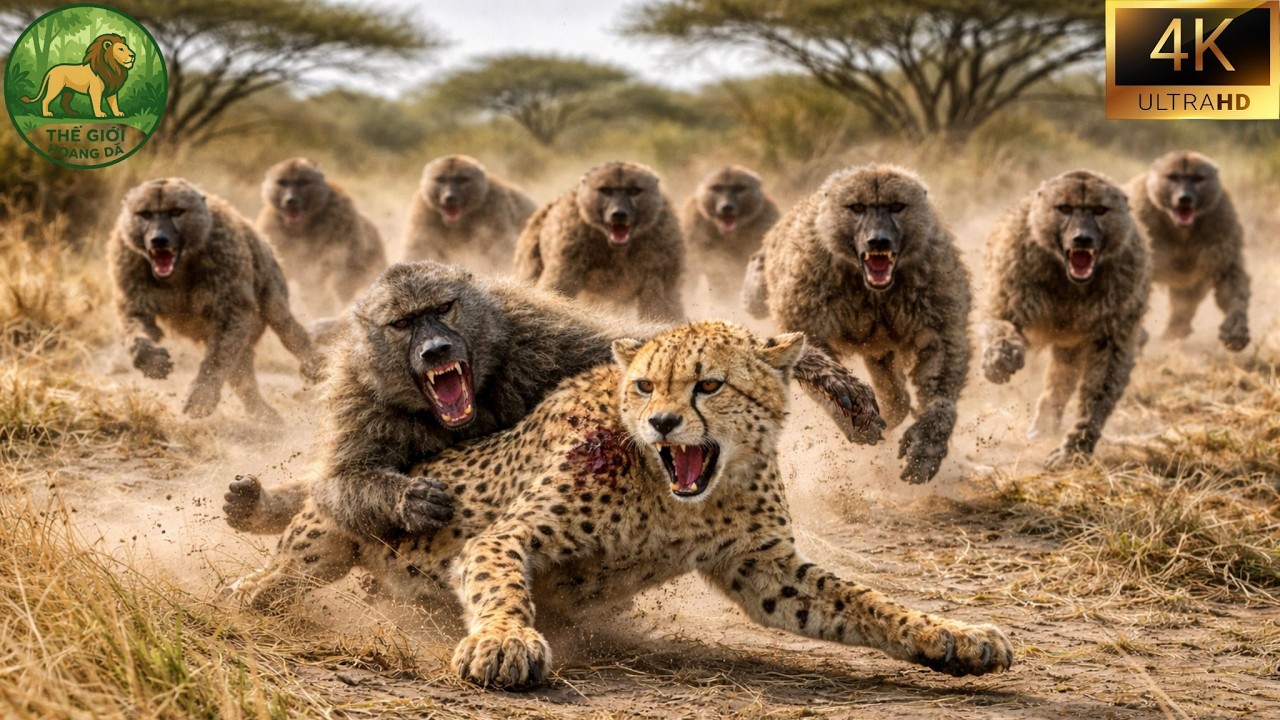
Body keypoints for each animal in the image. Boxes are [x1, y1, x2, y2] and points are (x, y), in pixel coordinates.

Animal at [226, 321, 1012, 690]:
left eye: (708, 385)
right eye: (643, 386)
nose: (663, 423)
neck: (677, 498)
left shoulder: (763, 569)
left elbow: (862, 601)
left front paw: (954, 637)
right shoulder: (504, 537)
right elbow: (500, 583)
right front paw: (504, 643)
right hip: (329, 532)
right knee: (277, 577)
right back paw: (245, 589)